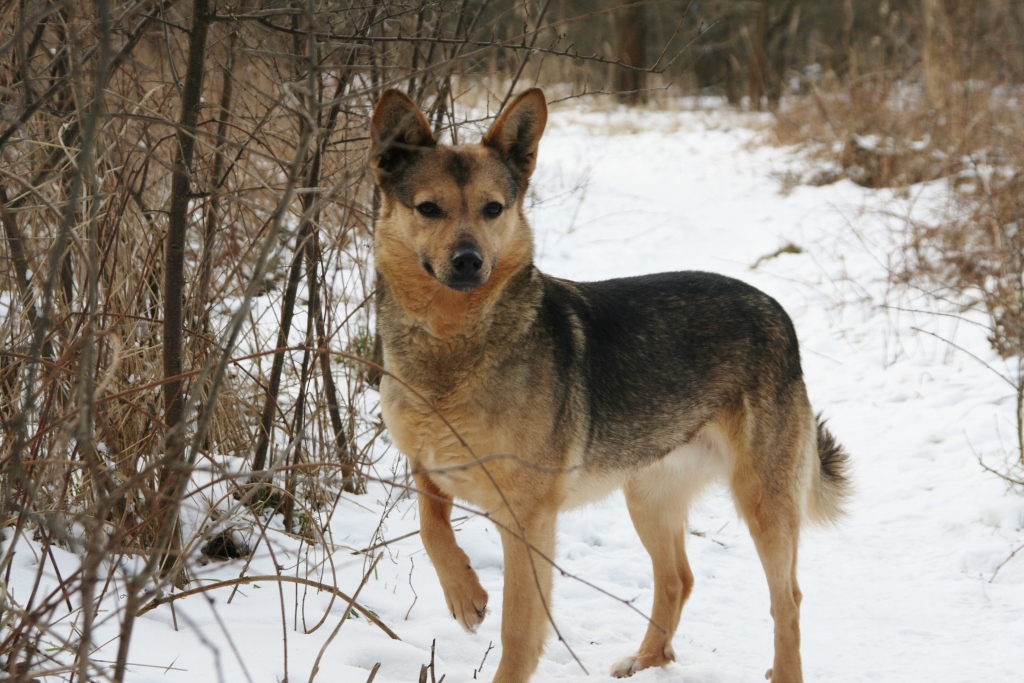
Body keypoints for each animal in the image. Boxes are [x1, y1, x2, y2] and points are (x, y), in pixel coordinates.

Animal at [369, 87, 849, 683]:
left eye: (492, 209)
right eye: (428, 208)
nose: (468, 262)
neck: (452, 344)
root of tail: (776, 311)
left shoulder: (527, 520)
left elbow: (519, 630)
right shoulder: (427, 467)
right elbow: (431, 525)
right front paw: (465, 595)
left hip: (764, 500)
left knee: (787, 599)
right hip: (647, 493)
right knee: (677, 578)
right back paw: (647, 659)